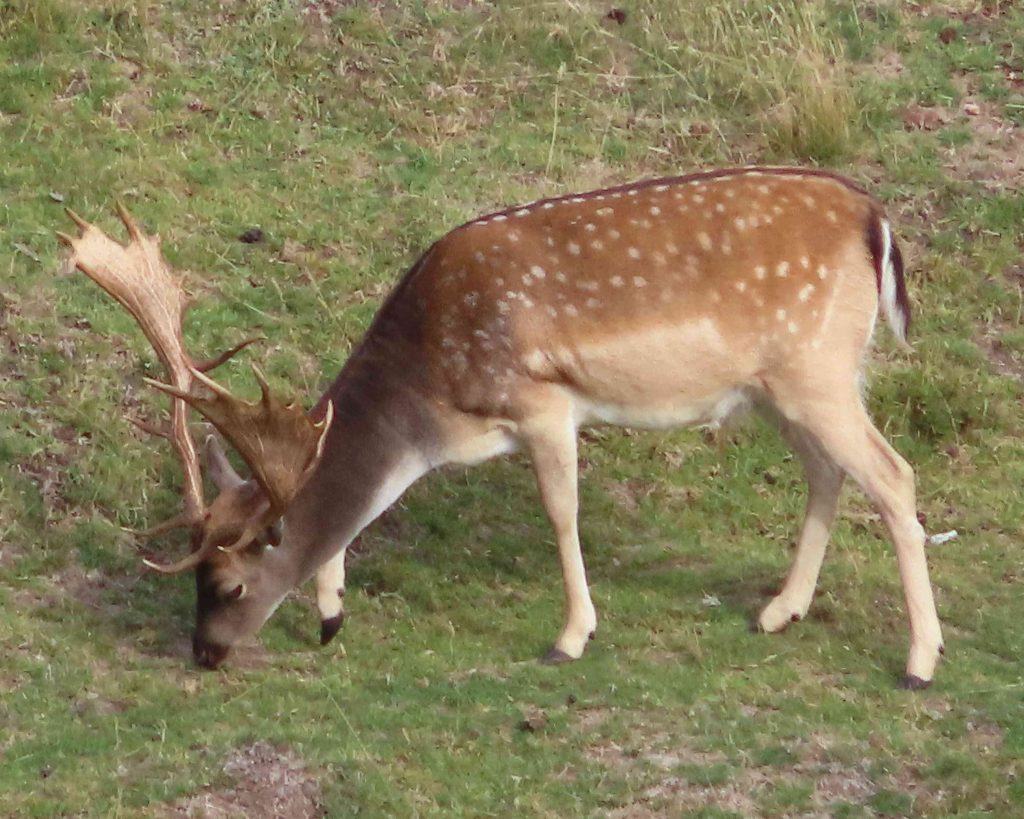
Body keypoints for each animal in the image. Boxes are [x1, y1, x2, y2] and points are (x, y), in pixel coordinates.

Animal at [58, 169, 942, 687]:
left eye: (231, 584)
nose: (203, 651)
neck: (431, 401)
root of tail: (876, 219)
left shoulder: (543, 401)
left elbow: (561, 512)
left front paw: (571, 636)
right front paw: (332, 613)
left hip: (815, 367)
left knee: (894, 475)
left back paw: (920, 659)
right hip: (781, 386)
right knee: (829, 473)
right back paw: (779, 610)